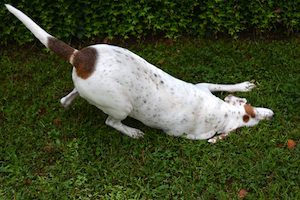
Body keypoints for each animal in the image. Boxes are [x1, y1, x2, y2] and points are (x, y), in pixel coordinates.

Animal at [5, 4, 274, 142]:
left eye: (252, 108)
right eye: (251, 124)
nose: (271, 115)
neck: (218, 112)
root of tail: (79, 56)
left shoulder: (203, 87)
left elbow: (221, 85)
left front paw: (243, 86)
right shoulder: (189, 134)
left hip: (91, 83)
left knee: (67, 98)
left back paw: (69, 104)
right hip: (121, 107)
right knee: (110, 121)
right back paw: (132, 131)